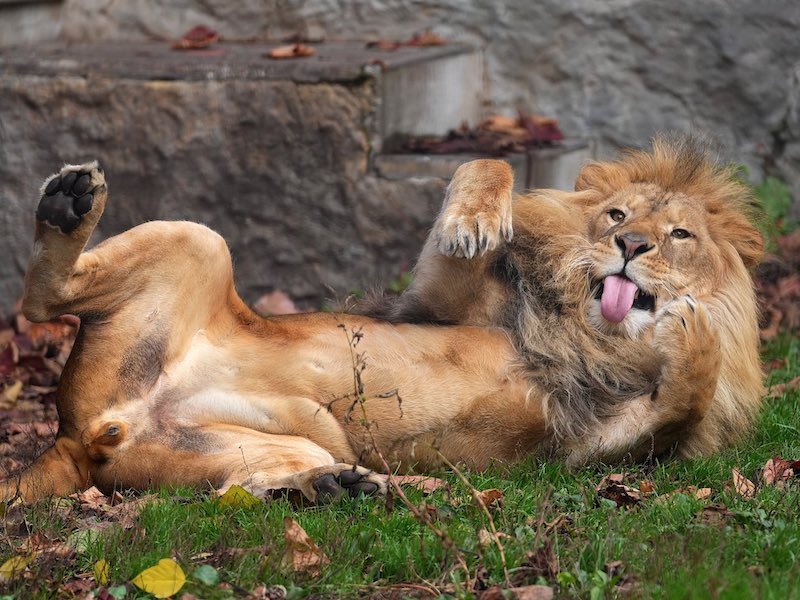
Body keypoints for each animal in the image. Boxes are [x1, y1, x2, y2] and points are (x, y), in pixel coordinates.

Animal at [0, 136, 764, 502]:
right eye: (615, 215)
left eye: (679, 235)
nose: (630, 246)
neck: (592, 332)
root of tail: (85, 433)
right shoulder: (440, 303)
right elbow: (485, 165)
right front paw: (475, 221)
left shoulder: (589, 450)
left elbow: (680, 404)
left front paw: (694, 336)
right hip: (197, 241)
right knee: (40, 301)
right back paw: (68, 201)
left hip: (258, 444)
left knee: (243, 488)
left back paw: (334, 487)